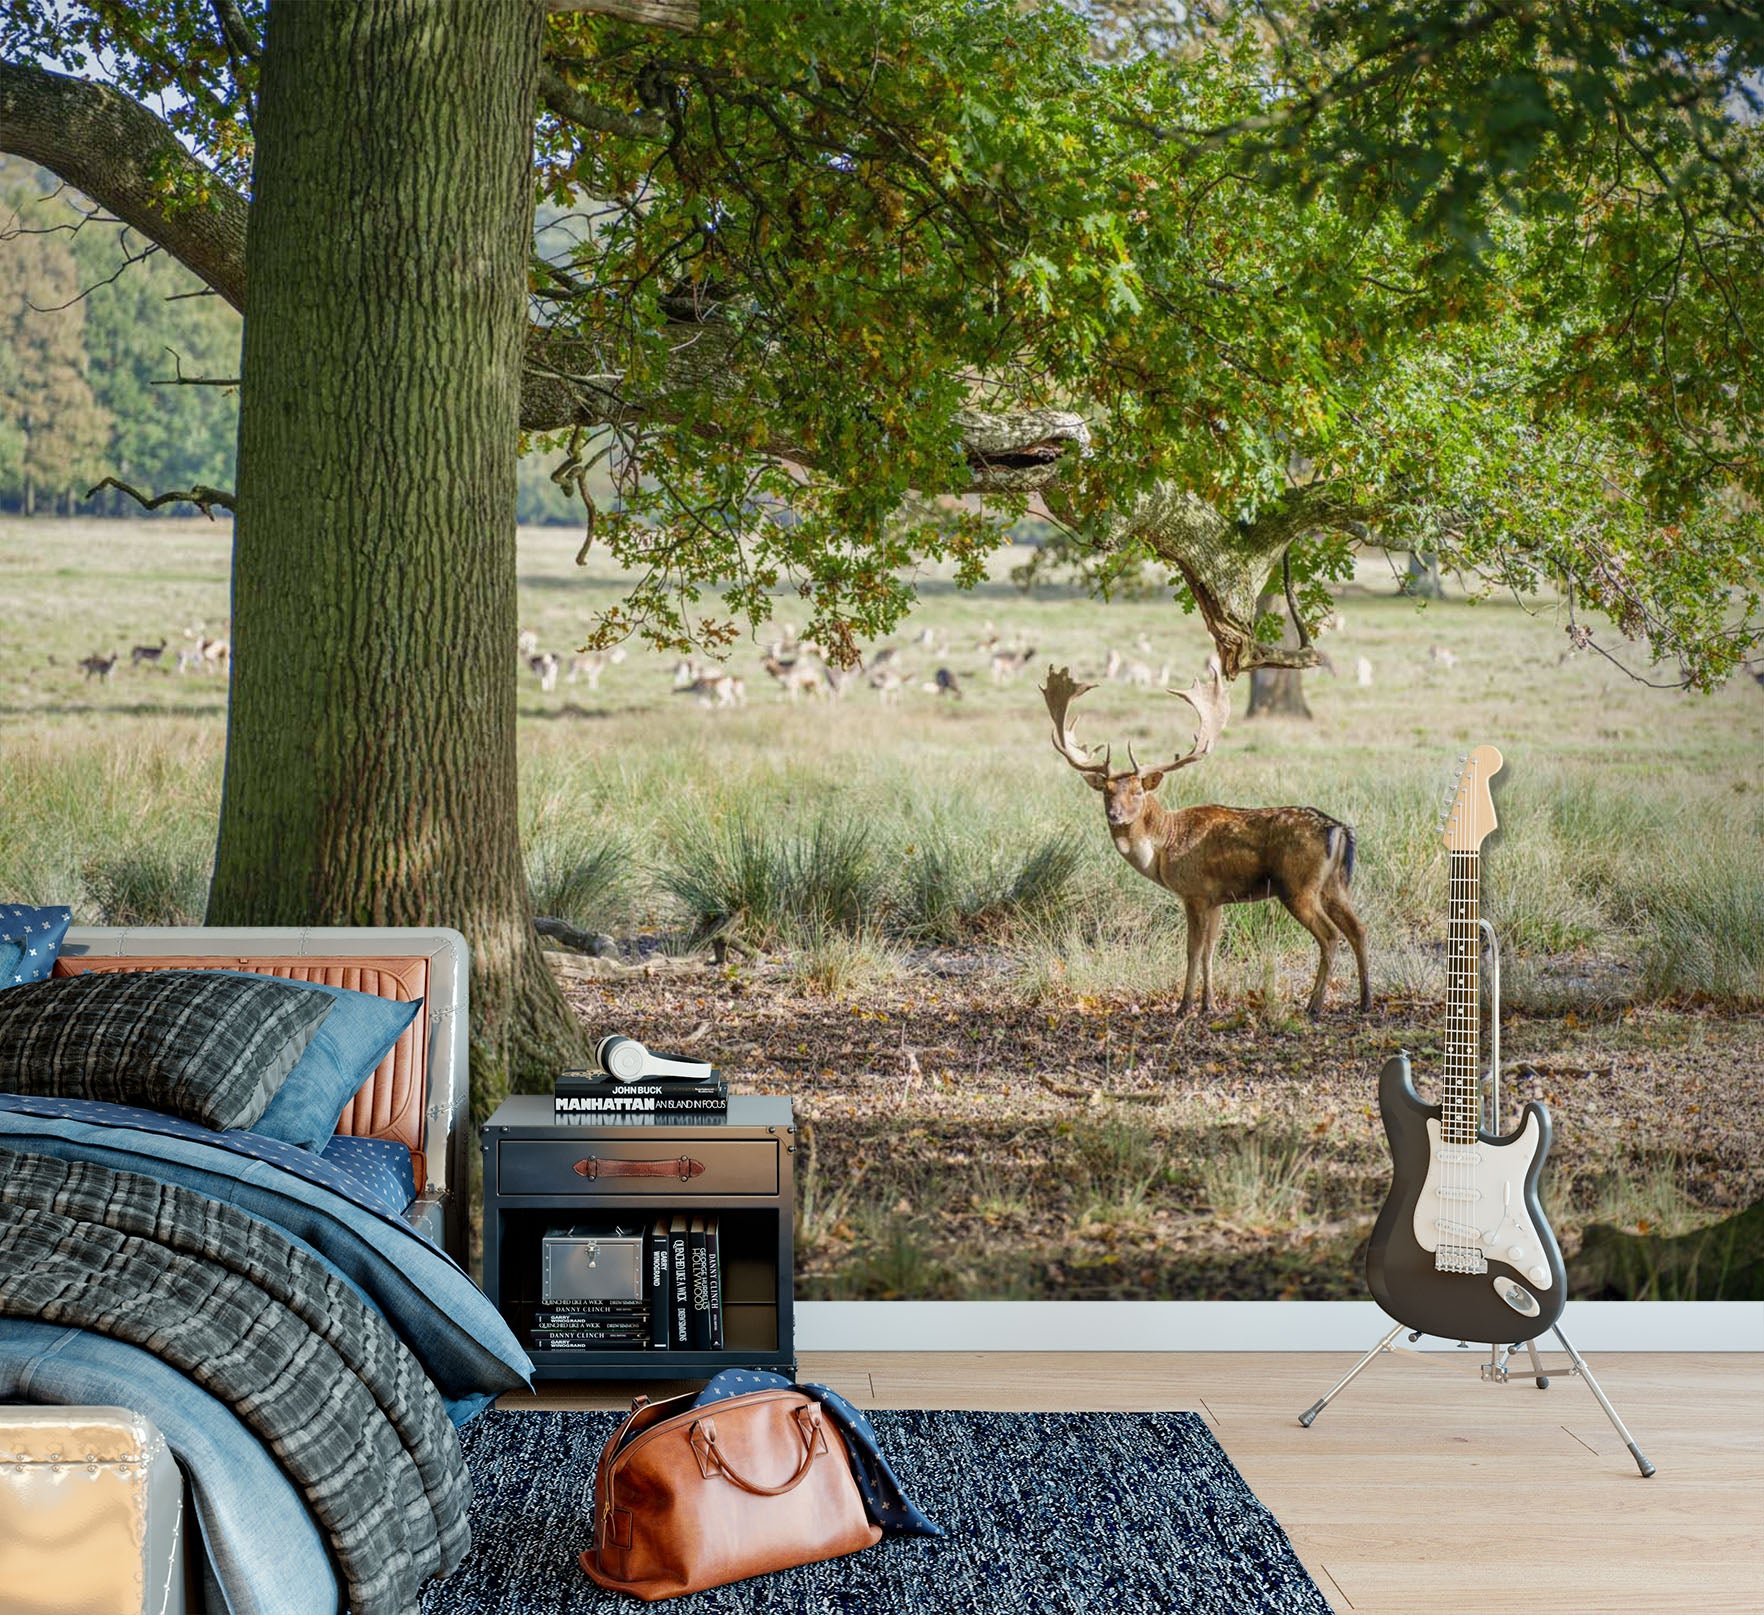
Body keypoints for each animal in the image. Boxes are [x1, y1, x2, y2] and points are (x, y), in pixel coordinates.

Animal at [1040, 661, 1370, 1017]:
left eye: (1138, 791)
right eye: (1106, 790)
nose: (1115, 814)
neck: (1165, 845)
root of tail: (1339, 830)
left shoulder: (1194, 891)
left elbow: (1193, 950)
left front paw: (1185, 1005)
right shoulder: (1216, 899)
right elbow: (1211, 950)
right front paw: (1208, 1004)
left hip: (1298, 885)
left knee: (1330, 935)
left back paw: (1315, 1004)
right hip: (1334, 885)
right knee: (1358, 929)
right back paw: (1365, 1000)